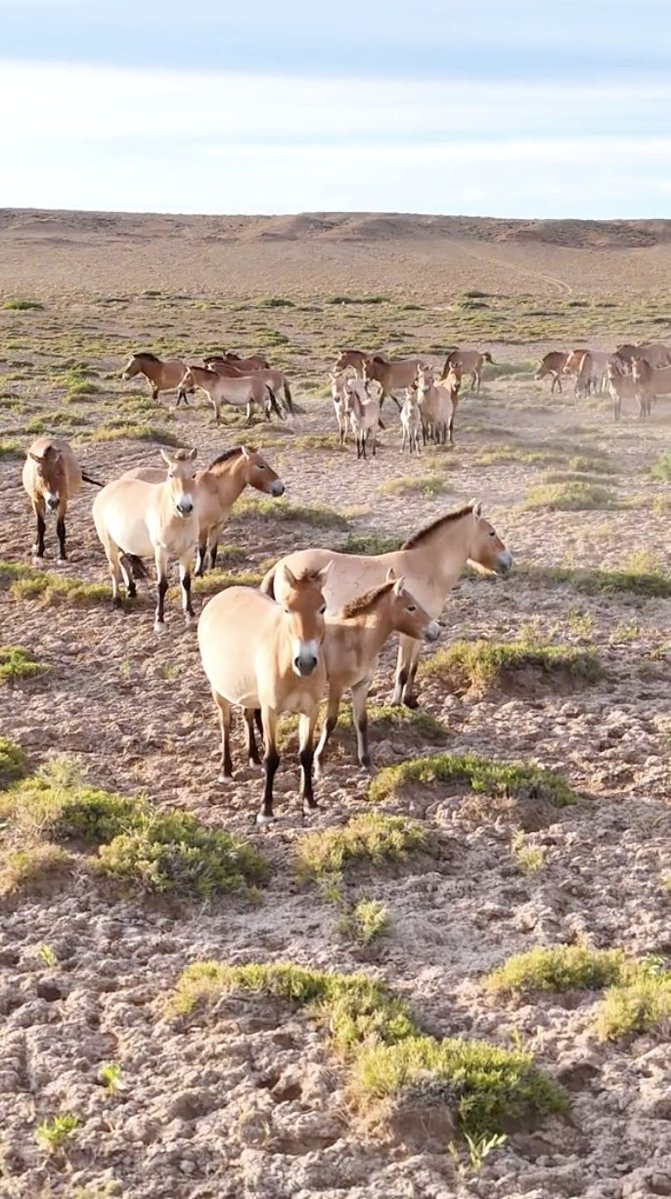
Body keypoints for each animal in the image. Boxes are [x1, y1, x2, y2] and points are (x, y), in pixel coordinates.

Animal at [92, 448, 199, 631]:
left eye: (193, 474)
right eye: (171, 475)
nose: (184, 508)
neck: (175, 518)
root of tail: (106, 490)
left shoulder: (187, 550)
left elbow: (186, 581)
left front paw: (190, 615)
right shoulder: (161, 551)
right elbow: (162, 585)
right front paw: (160, 621)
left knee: (122, 560)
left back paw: (131, 591)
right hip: (109, 544)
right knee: (114, 569)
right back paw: (116, 601)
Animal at [123, 444, 285, 575]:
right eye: (261, 466)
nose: (281, 488)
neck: (215, 489)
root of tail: (124, 477)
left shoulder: (218, 525)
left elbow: (213, 549)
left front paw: (211, 570)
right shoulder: (203, 527)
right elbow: (202, 549)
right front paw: (198, 572)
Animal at [197, 564, 331, 824]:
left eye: (322, 608)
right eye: (288, 609)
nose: (306, 662)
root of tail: (221, 596)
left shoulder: (310, 710)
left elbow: (306, 754)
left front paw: (310, 803)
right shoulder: (271, 711)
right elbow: (273, 759)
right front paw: (265, 811)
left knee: (248, 715)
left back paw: (253, 757)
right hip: (219, 691)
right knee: (225, 724)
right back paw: (226, 771)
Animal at [261, 501, 512, 709]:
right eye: (492, 532)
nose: (508, 562)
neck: (424, 568)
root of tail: (280, 566)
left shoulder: (422, 630)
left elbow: (413, 668)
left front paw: (411, 701)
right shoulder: (408, 633)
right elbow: (402, 670)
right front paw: (395, 703)